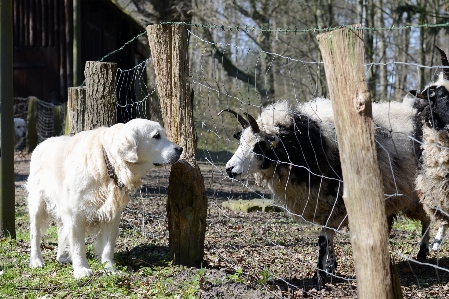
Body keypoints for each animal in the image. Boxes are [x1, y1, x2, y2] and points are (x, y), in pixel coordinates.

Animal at [27, 119, 182, 278]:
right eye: (156, 136)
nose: (180, 149)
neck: (107, 164)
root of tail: (41, 144)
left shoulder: (112, 214)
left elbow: (108, 246)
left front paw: (110, 268)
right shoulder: (76, 214)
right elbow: (78, 245)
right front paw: (81, 269)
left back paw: (62, 257)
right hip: (38, 204)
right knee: (35, 234)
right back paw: (36, 260)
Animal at [219, 97, 428, 288]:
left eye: (259, 146)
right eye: (241, 142)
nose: (229, 169)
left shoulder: (337, 202)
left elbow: (322, 240)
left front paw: (319, 276)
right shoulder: (325, 203)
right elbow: (329, 238)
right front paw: (330, 268)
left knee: (427, 221)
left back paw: (423, 253)